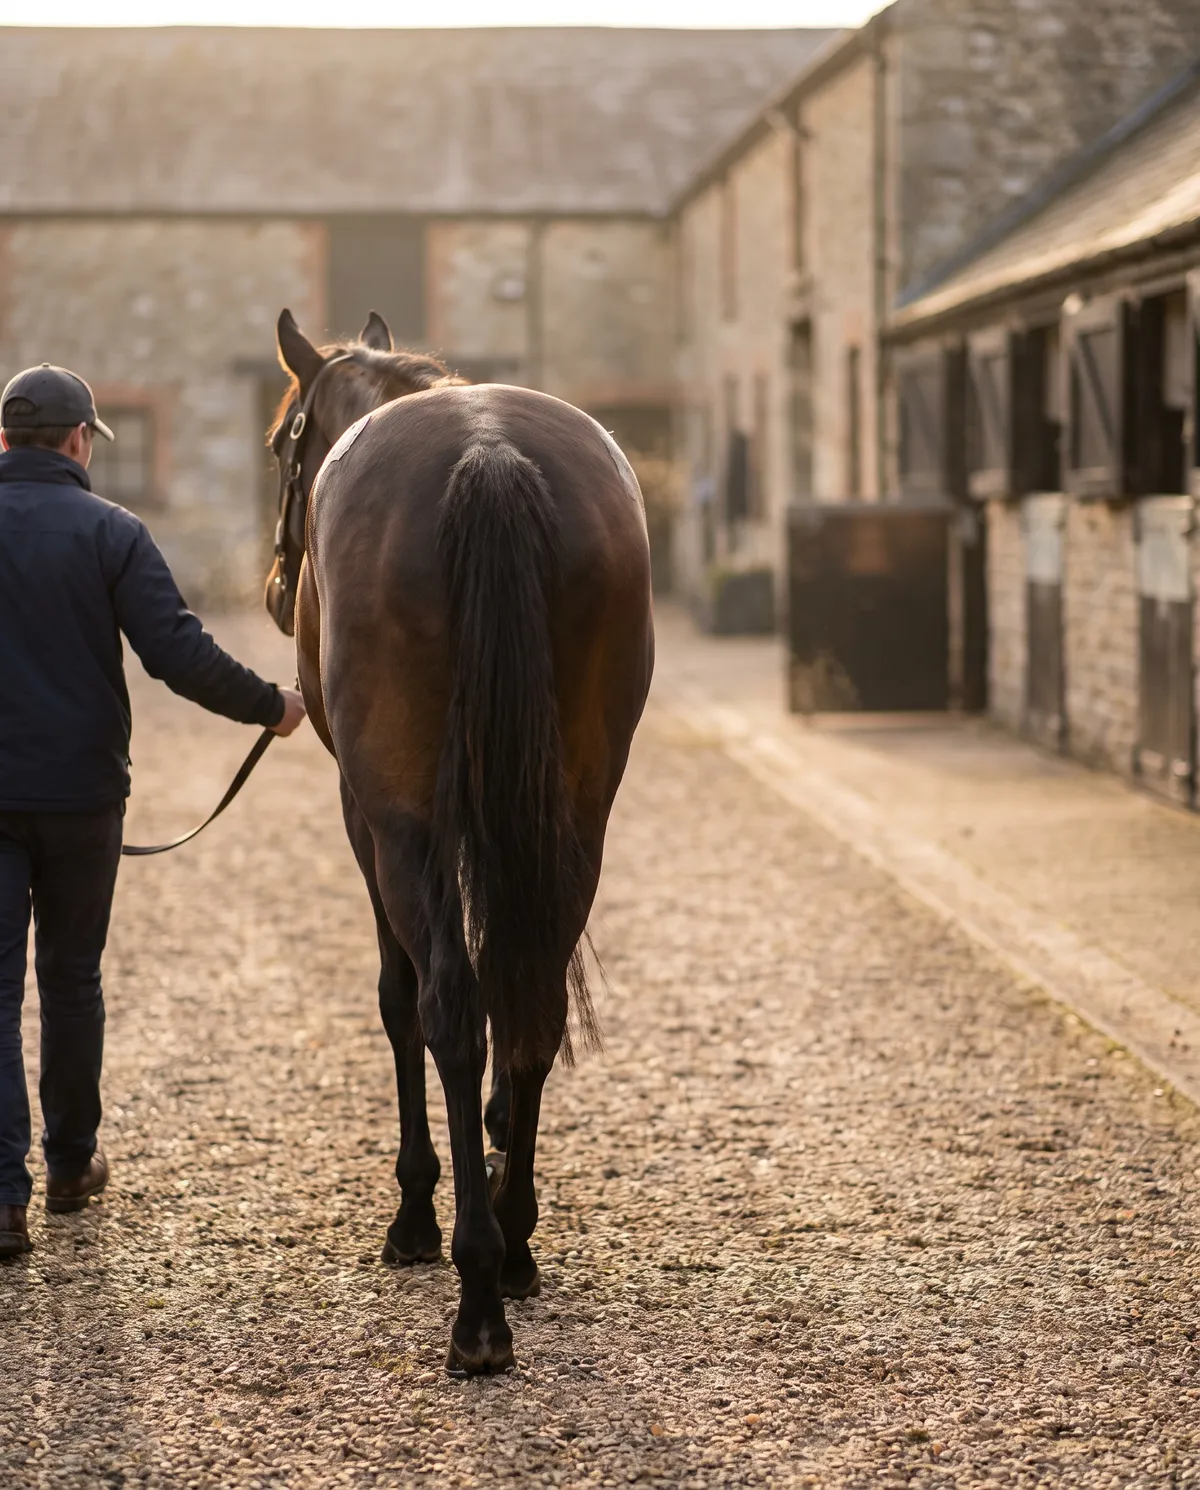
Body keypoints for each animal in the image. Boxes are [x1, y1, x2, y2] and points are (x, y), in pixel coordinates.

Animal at [265, 308, 654, 1375]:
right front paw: (495, 1139)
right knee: (533, 1001)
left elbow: (402, 1004)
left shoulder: (369, 819)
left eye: (280, 443)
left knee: (448, 1005)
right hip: (579, 807)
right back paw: (514, 1243)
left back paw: (476, 1295)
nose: (273, 586)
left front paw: (415, 1213)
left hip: (400, 817)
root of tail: (487, 455)